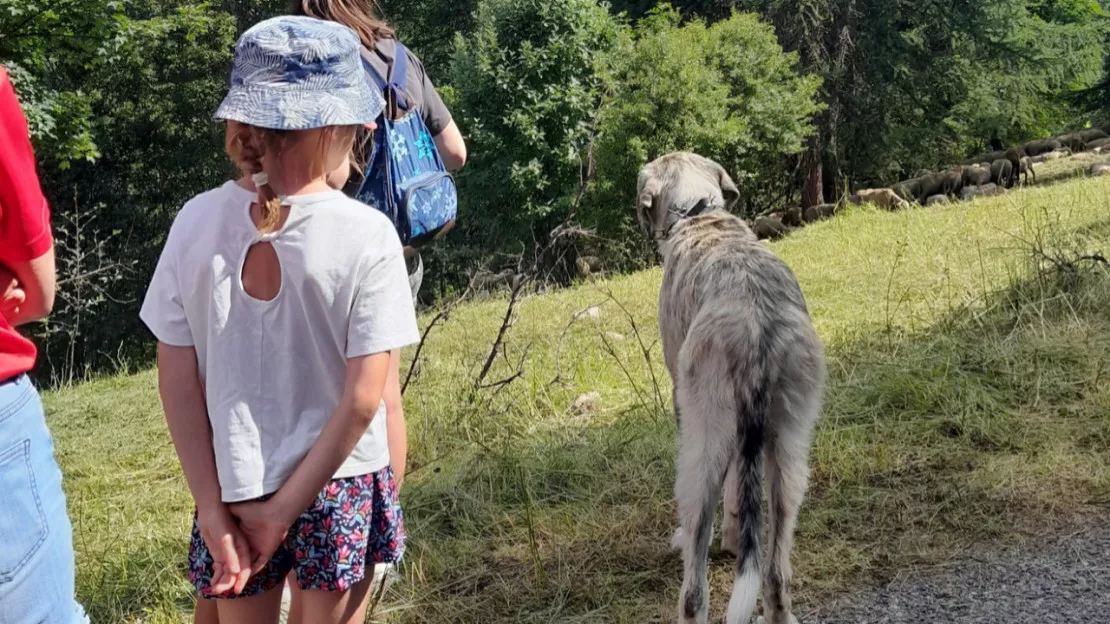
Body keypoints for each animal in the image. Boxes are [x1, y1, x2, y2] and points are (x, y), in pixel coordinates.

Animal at [639, 152, 830, 621]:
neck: (700, 214)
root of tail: (757, 331)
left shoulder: (685, 404)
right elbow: (737, 495)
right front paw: (731, 537)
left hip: (700, 451)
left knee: (694, 588)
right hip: (789, 448)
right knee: (775, 569)